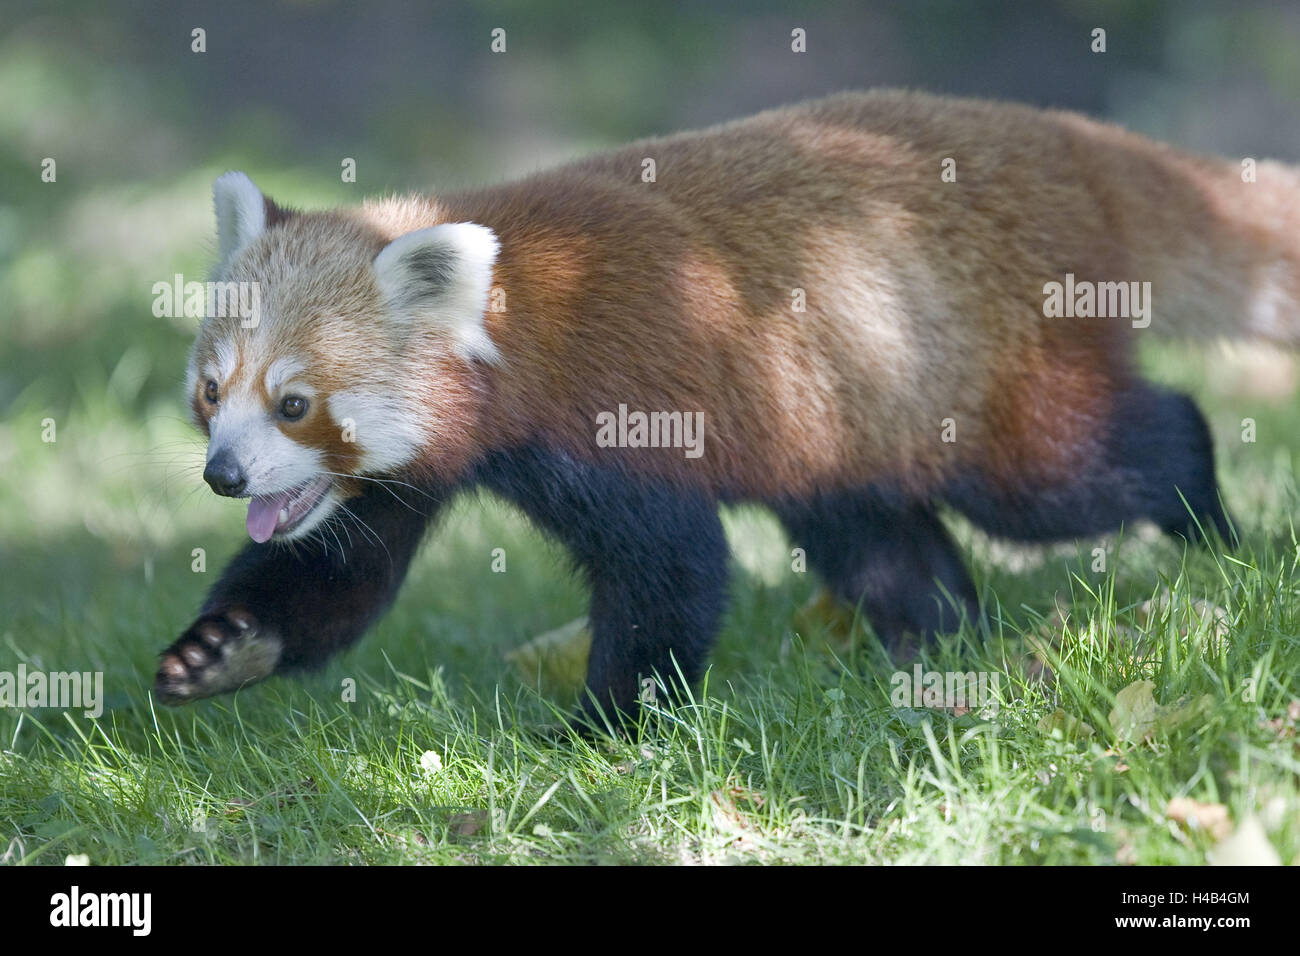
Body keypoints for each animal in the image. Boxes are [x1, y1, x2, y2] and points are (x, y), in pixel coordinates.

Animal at [157, 89, 1294, 723]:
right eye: (213, 391)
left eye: (295, 402)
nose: (222, 474)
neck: (521, 313)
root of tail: (1059, 142)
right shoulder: (405, 476)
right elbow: (338, 574)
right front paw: (222, 649)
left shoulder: (620, 414)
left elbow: (674, 574)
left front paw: (603, 728)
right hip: (845, 406)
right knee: (874, 533)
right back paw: (937, 643)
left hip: (989, 380)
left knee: (1086, 466)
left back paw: (1209, 524)